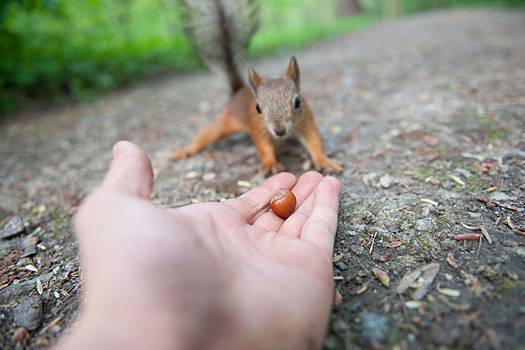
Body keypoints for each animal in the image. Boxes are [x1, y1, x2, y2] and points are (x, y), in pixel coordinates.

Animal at [168, 0, 340, 175]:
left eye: (297, 102)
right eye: (258, 108)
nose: (279, 131)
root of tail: (238, 91)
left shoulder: (306, 119)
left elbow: (314, 140)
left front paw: (323, 159)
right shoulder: (257, 126)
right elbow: (263, 147)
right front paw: (270, 163)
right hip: (226, 120)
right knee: (207, 134)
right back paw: (185, 150)